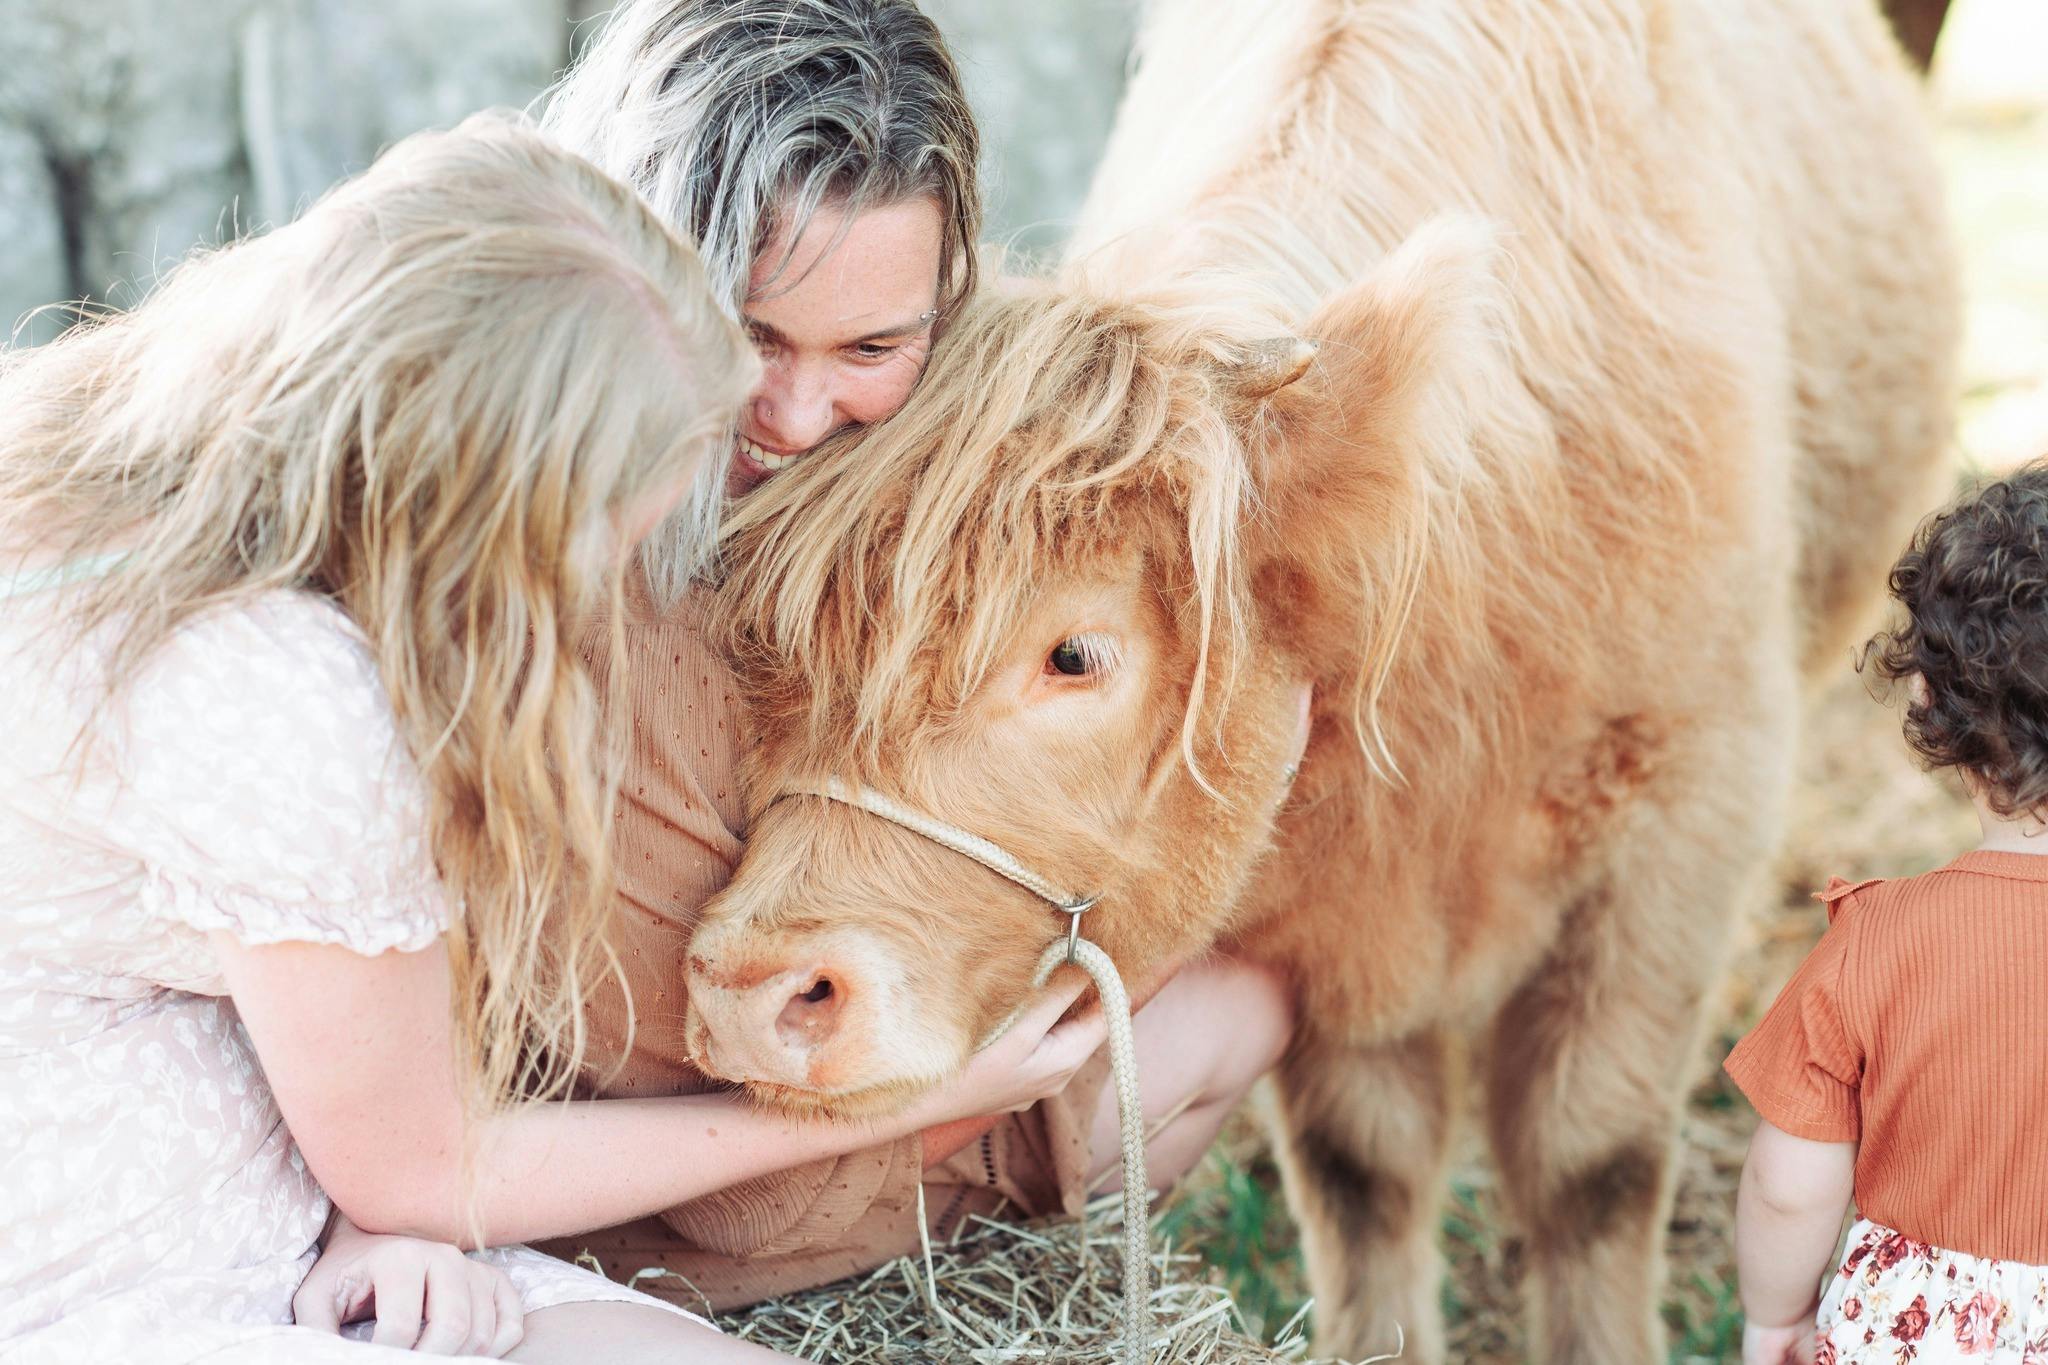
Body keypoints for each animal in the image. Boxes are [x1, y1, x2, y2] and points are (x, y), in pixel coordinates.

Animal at [676, 1, 1959, 1360]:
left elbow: (1587, 1165)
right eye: (769, 648)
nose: (753, 989)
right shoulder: (1330, 929)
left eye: (1075, 654)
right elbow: (1363, 1171)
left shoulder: (1685, 822)